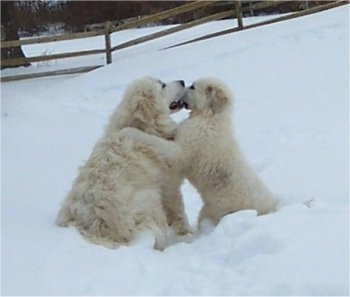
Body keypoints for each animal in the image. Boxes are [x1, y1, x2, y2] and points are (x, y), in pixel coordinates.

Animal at [55, 77, 190, 250]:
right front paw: (188, 235)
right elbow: (179, 213)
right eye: (162, 85)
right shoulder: (169, 187)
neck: (141, 127)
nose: (182, 81)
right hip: (150, 198)